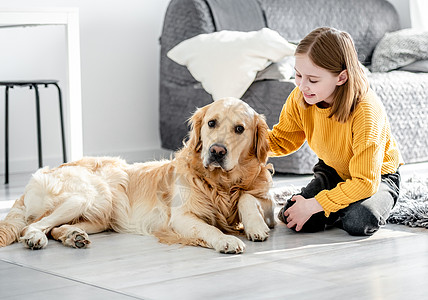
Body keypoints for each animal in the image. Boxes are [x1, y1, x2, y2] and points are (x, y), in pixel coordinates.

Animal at [0, 98, 274, 253]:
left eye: (239, 129)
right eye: (211, 123)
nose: (216, 151)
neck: (221, 184)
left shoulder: (267, 203)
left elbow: (248, 197)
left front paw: (255, 225)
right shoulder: (182, 217)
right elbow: (209, 229)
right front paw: (226, 240)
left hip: (99, 215)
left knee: (56, 227)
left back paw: (73, 236)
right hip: (89, 196)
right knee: (33, 226)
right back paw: (36, 239)